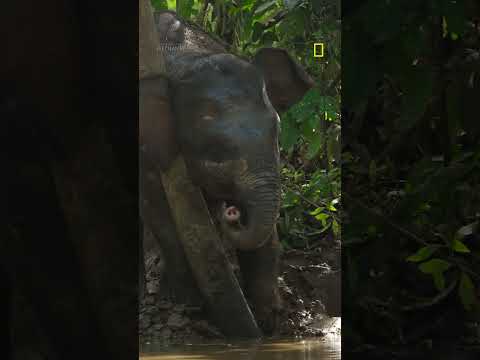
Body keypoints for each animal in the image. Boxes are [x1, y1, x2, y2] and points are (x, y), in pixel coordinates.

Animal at [140, 10, 316, 334]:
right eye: (216, 152)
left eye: (277, 132)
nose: (232, 211)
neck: (188, 56)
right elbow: (157, 211)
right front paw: (187, 303)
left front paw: (270, 320)